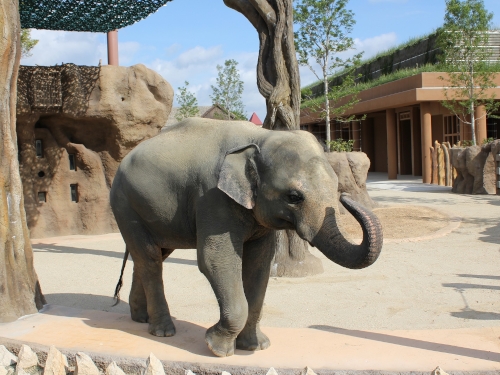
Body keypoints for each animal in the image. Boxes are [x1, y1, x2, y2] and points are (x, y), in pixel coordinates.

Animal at [110, 118, 382, 358]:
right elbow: (216, 259)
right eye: (294, 197)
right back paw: (163, 332)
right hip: (125, 204)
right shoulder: (211, 196)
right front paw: (217, 348)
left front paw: (255, 347)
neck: (260, 137)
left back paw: (141, 318)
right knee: (150, 258)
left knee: (151, 255)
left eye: (336, 186)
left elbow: (259, 264)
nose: (346, 197)